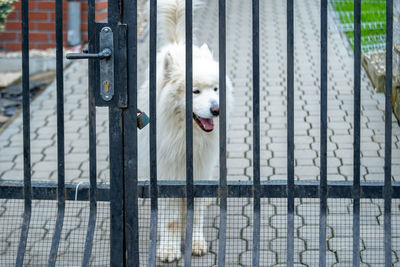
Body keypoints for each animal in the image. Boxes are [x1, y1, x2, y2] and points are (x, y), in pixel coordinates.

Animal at [137, 0, 233, 264]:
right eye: (195, 91)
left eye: (215, 89)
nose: (216, 109)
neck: (186, 135)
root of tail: (178, 45)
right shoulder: (168, 170)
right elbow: (170, 219)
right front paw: (169, 250)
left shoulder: (200, 167)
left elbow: (196, 210)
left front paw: (196, 242)